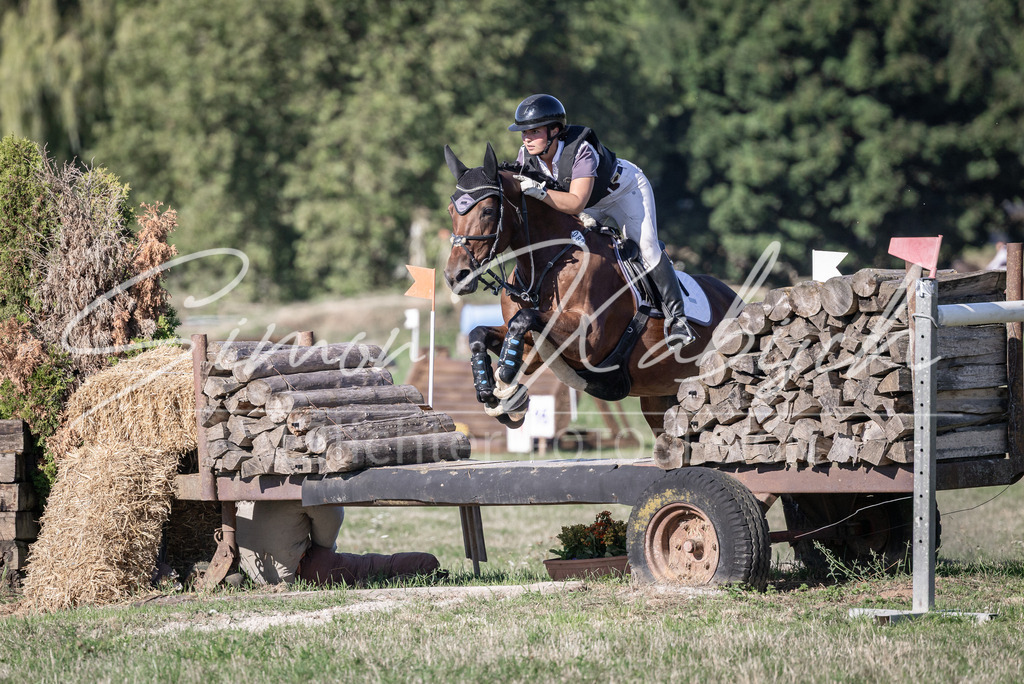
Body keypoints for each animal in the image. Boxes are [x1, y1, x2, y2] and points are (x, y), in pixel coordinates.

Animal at [442, 143, 741, 433]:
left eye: (488, 211)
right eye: (451, 211)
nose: (455, 276)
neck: (547, 265)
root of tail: (736, 298)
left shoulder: (589, 340)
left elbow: (523, 318)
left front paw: (505, 383)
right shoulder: (533, 348)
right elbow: (479, 333)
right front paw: (490, 390)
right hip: (659, 396)